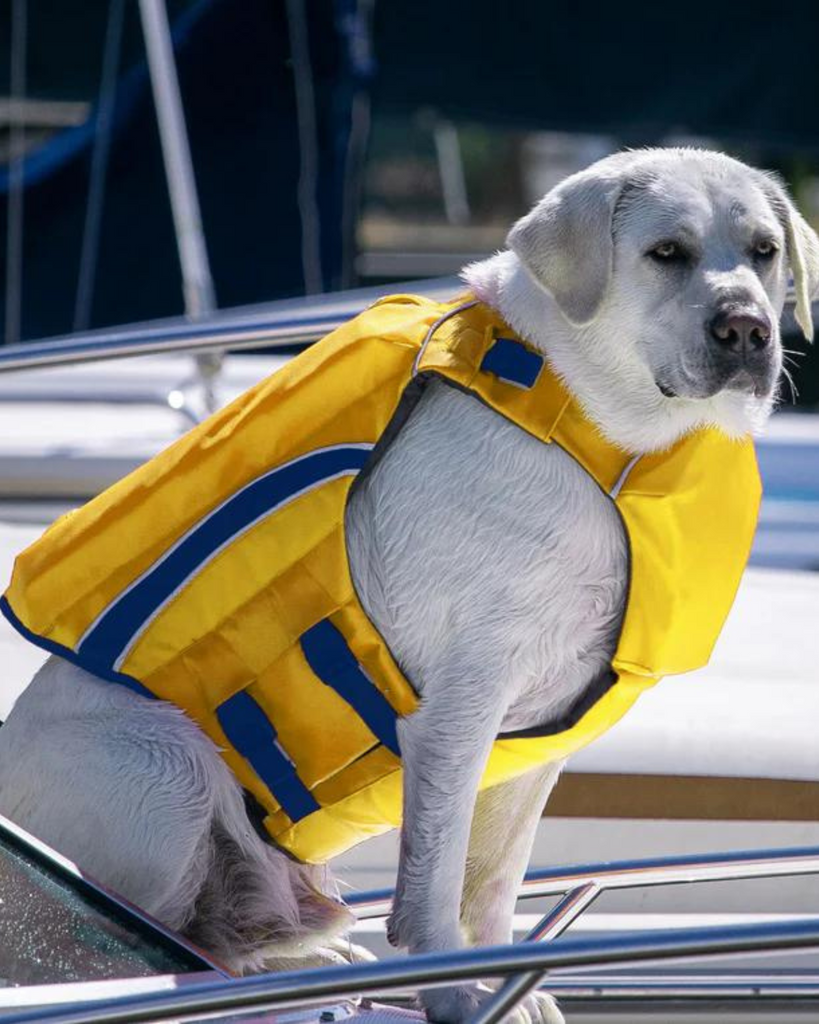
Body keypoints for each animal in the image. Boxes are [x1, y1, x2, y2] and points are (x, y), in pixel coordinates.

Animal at [1, 146, 818, 1024]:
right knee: (114, 929)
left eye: (765, 251)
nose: (746, 328)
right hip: (169, 766)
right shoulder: (460, 702)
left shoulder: (542, 739)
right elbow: (433, 884)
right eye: (666, 252)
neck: (598, 433)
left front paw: (510, 987)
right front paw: (456, 992)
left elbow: (491, 883)